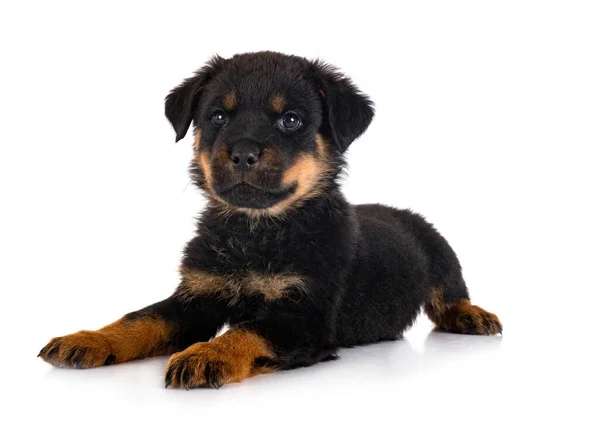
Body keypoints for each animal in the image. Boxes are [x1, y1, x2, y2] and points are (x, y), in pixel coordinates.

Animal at [38, 51, 502, 388]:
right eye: (218, 116)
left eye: (290, 120)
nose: (243, 153)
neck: (254, 231)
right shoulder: (196, 297)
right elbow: (141, 318)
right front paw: (88, 340)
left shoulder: (304, 317)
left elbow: (248, 332)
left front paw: (206, 355)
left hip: (440, 250)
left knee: (450, 294)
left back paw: (472, 316)